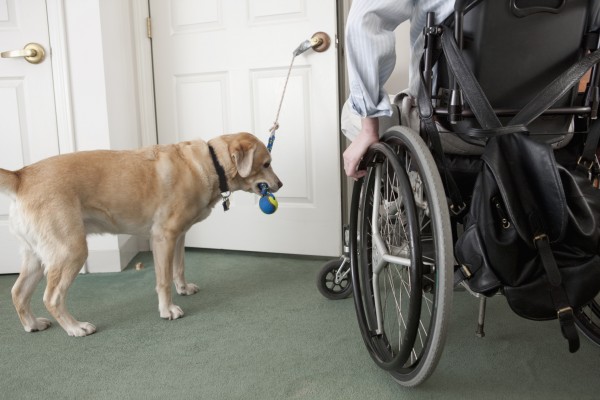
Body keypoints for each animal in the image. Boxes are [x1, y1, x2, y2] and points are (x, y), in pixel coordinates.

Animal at [0, 133, 282, 336]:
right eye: (266, 163)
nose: (280, 184)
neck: (210, 164)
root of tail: (21, 175)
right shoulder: (163, 236)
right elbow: (164, 279)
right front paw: (167, 309)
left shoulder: (179, 236)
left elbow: (179, 268)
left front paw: (183, 288)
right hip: (70, 251)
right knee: (52, 297)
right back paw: (75, 327)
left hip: (36, 256)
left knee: (17, 292)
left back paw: (33, 324)